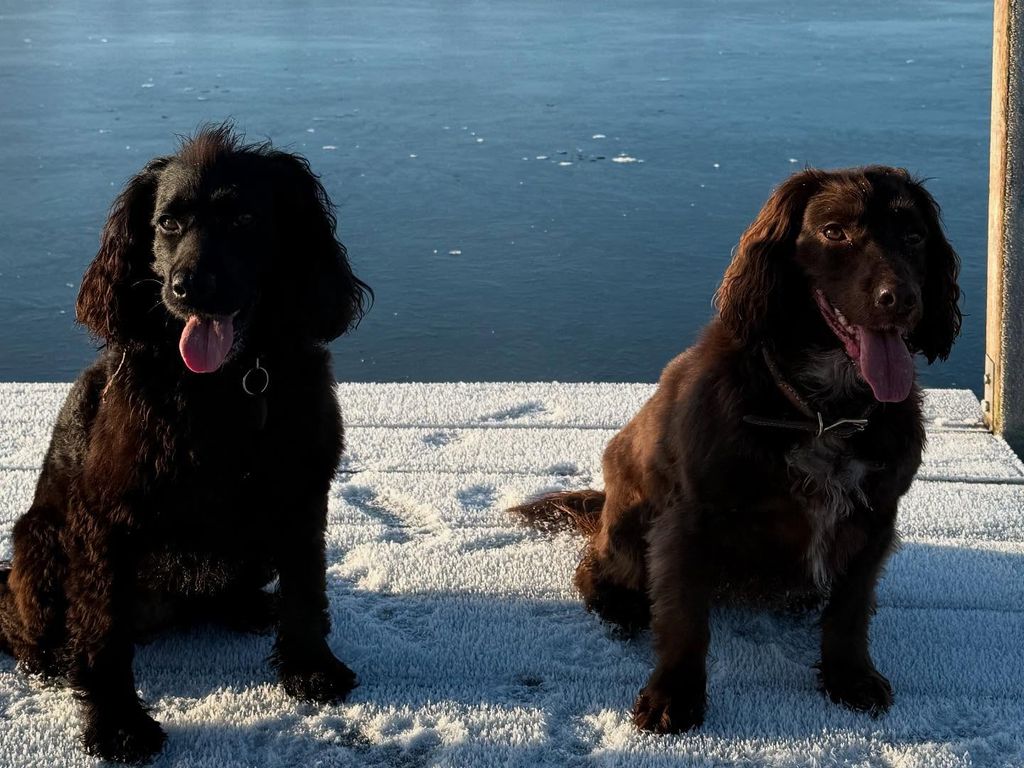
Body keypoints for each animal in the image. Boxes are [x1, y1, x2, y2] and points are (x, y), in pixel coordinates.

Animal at [0, 126, 370, 765]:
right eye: (167, 223)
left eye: (244, 218)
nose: (189, 287)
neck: (223, 384)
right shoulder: (106, 519)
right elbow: (102, 631)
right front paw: (117, 724)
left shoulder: (300, 494)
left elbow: (306, 589)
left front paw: (310, 668)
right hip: (41, 539)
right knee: (25, 628)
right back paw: (56, 659)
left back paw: (250, 608)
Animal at [512, 166, 958, 733]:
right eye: (835, 232)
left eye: (914, 236)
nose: (901, 300)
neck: (819, 409)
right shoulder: (690, 519)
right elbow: (685, 617)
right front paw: (674, 694)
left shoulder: (876, 516)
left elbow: (851, 608)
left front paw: (849, 677)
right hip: (630, 527)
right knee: (594, 569)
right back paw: (619, 605)